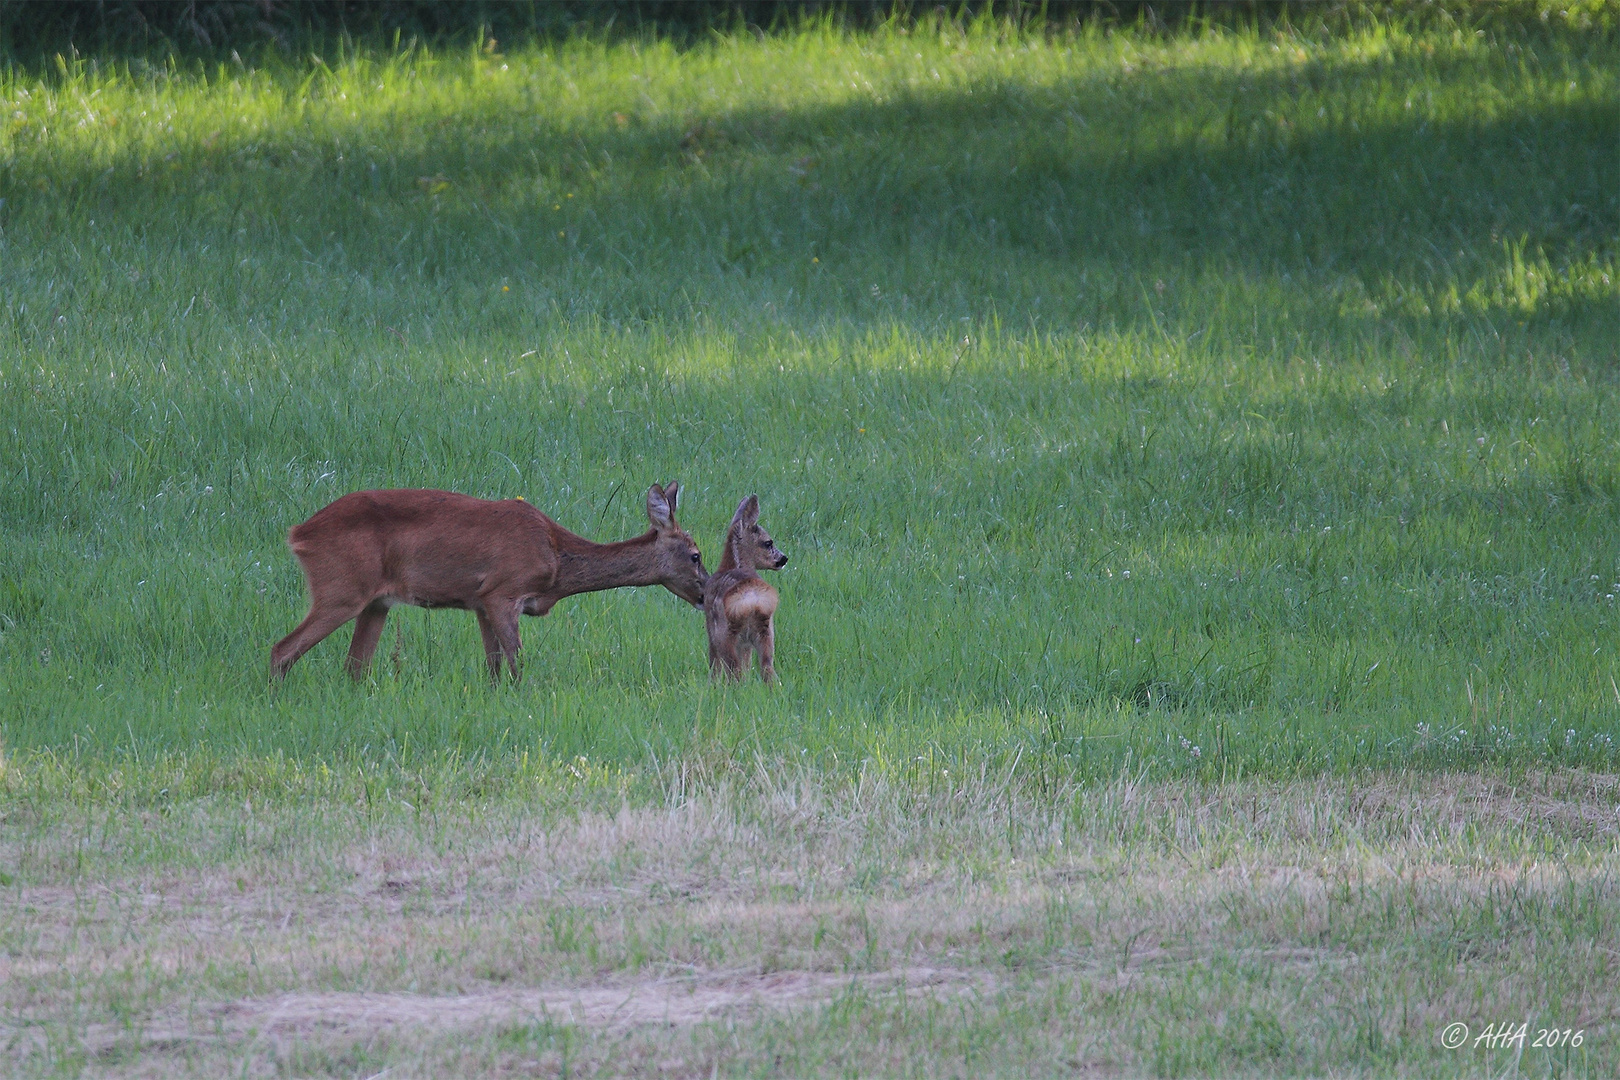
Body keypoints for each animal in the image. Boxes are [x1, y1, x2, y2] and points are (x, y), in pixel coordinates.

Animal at [268, 482, 706, 680]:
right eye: (696, 555)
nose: (707, 592)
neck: (557, 560)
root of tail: (297, 534)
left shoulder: (479, 601)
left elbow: (493, 665)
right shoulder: (503, 590)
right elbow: (516, 662)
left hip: (376, 602)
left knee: (355, 666)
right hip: (341, 588)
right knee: (282, 649)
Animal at [706, 492, 787, 680]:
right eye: (768, 542)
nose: (784, 559)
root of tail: (752, 600)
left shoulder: (709, 626)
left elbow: (715, 665)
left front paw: (711, 684)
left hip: (726, 633)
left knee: (733, 669)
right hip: (766, 631)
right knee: (766, 667)